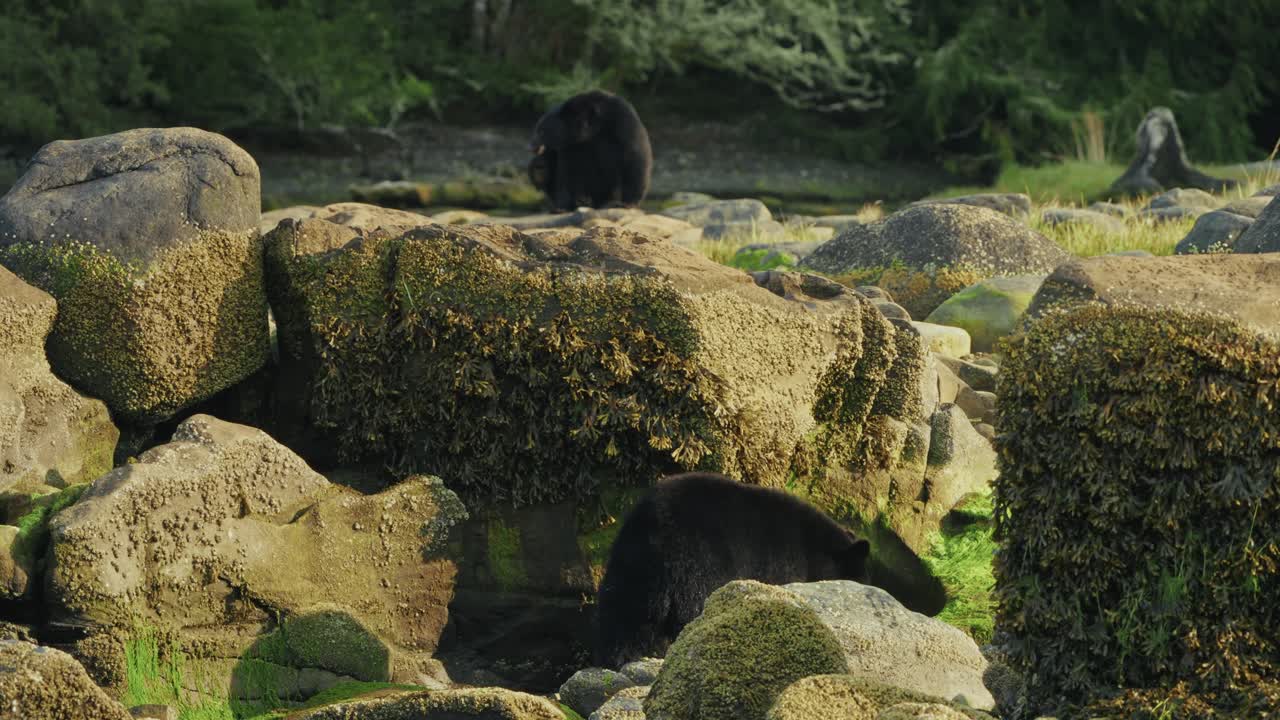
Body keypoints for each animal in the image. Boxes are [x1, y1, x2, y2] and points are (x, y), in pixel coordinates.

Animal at [592, 472, 871, 668]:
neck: (813, 548)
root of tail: (655, 526)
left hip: (631, 561)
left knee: (622, 610)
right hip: (698, 560)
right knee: (692, 608)